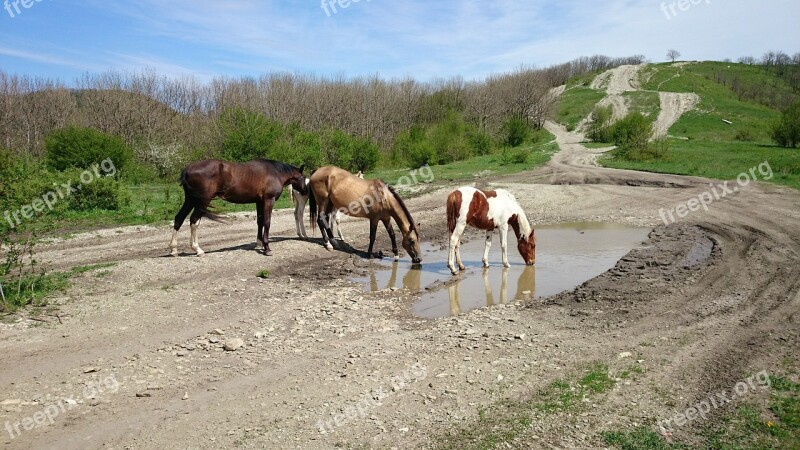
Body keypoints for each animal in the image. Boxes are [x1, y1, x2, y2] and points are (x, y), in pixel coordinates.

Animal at [170, 159, 306, 256]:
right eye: (302, 178)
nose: (305, 191)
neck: (274, 173)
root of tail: (188, 170)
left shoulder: (259, 201)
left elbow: (260, 221)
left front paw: (259, 243)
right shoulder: (268, 200)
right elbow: (267, 222)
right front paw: (266, 247)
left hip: (190, 200)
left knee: (179, 218)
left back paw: (173, 249)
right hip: (202, 202)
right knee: (193, 221)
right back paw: (197, 249)